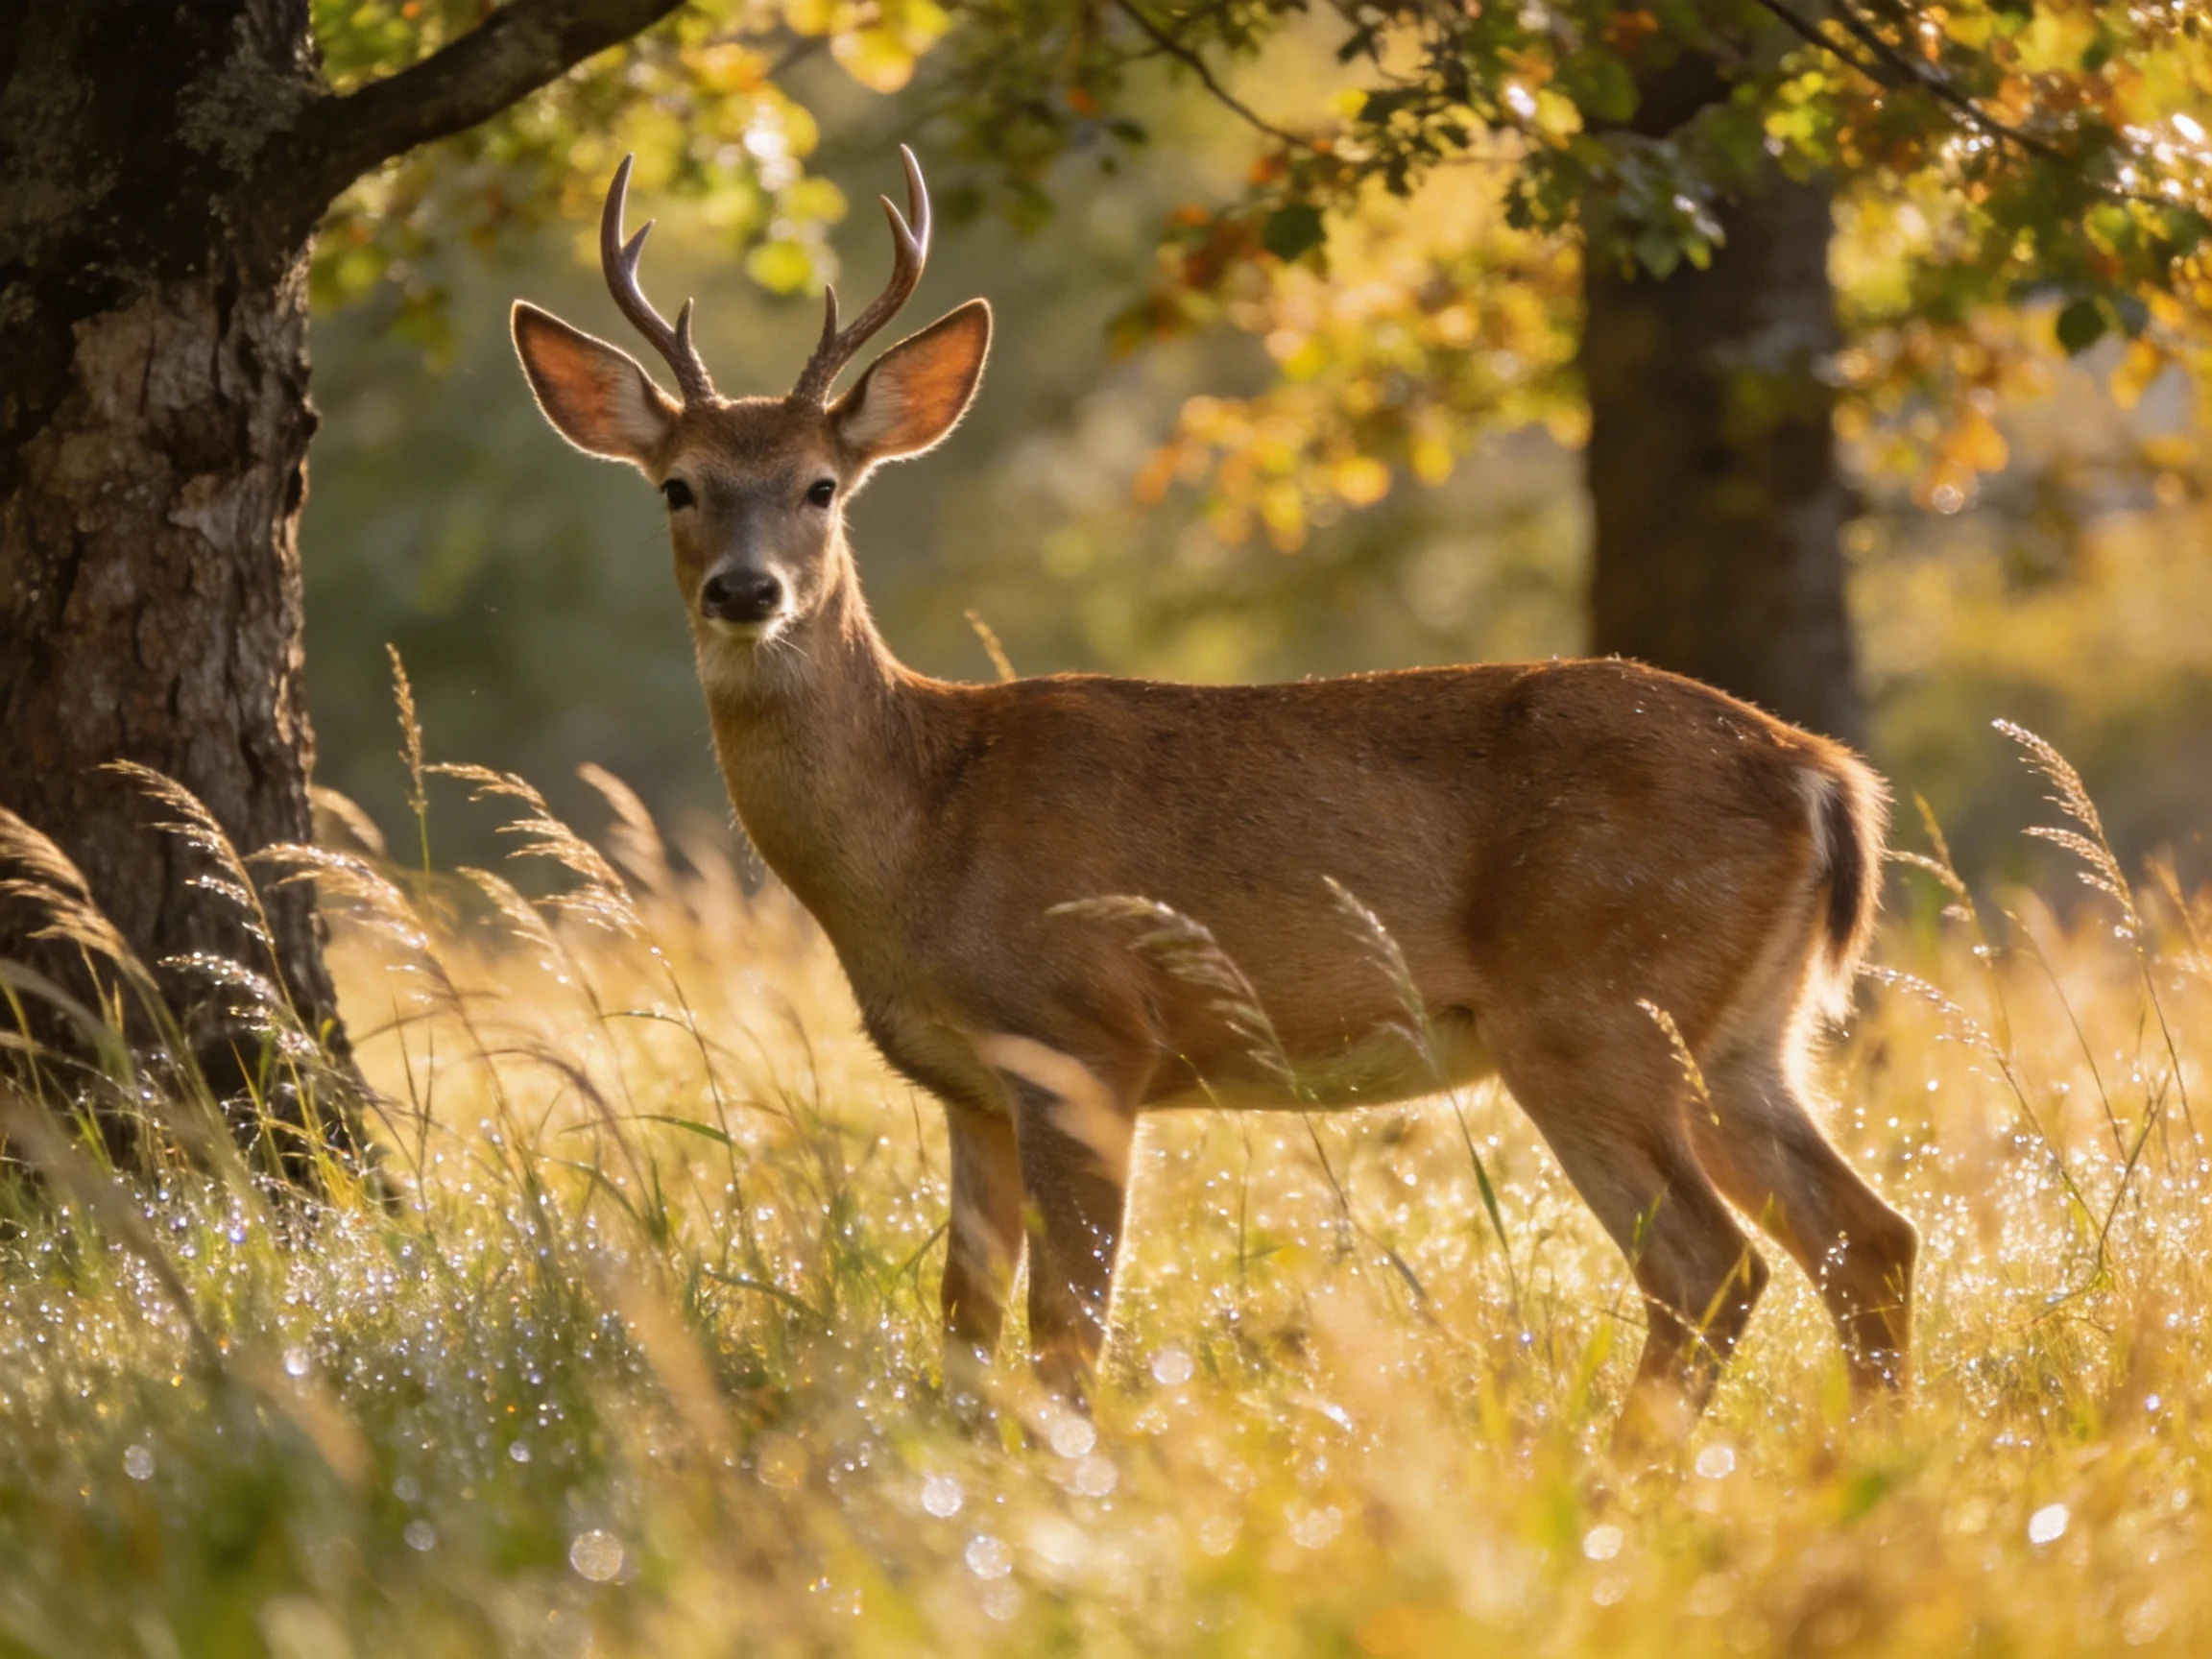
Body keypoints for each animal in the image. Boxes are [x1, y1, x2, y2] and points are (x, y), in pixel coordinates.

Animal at [510, 148, 1916, 1444]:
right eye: (678, 486)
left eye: (821, 485)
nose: (746, 590)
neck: (923, 825)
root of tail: (1823, 774)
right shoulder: (969, 1084)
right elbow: (967, 1322)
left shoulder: (1087, 1035)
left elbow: (1066, 1326)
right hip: (1743, 1035)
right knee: (1870, 1240)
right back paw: (1863, 1465)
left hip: (1595, 1009)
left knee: (1712, 1262)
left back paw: (1630, 1480)